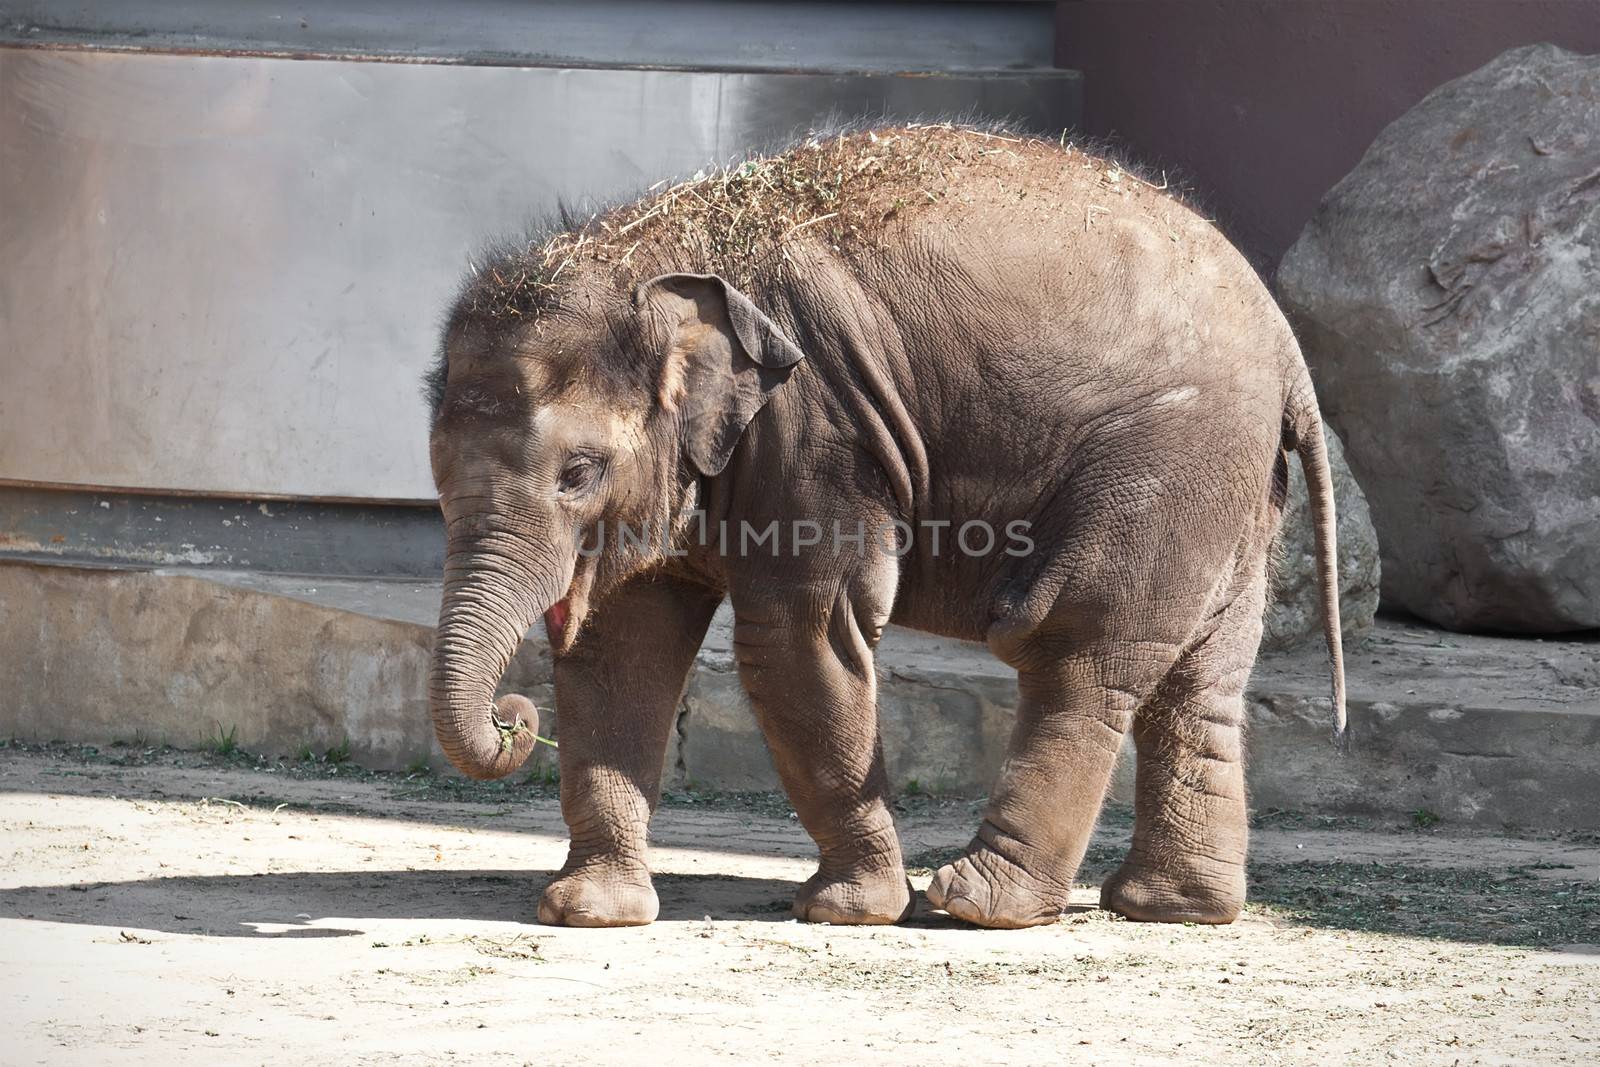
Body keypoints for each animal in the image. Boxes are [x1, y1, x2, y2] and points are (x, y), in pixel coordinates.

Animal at [428, 123, 1350, 927]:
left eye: (577, 474)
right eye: (434, 482)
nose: (513, 716)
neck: (652, 252)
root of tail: (1286, 347)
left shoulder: (814, 432)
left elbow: (798, 639)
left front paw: (850, 910)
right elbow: (623, 646)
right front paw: (590, 912)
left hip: (1168, 460)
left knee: (1074, 645)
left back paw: (978, 904)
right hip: (1232, 489)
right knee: (1203, 676)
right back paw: (1171, 907)